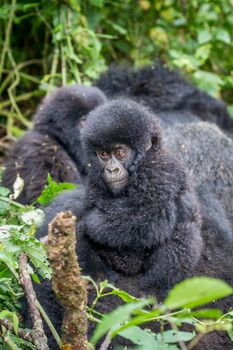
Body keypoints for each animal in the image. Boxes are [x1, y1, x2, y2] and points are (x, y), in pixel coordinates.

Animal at [35, 98, 233, 350]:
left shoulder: (160, 171)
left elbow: (149, 217)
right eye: (103, 154)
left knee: (182, 234)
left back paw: (152, 292)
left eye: (120, 153)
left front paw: (89, 224)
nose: (111, 169)